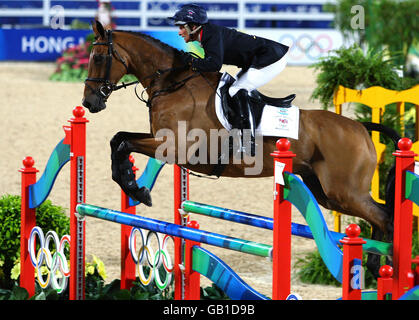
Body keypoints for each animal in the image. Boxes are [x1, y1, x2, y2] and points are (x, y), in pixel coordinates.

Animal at [81, 21, 398, 276]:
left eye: (98, 57)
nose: (89, 103)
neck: (171, 84)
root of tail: (360, 128)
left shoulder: (175, 148)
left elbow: (124, 142)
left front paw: (136, 189)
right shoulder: (160, 139)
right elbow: (118, 139)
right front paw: (131, 182)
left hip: (344, 191)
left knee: (384, 216)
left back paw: (385, 265)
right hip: (326, 192)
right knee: (380, 213)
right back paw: (375, 263)